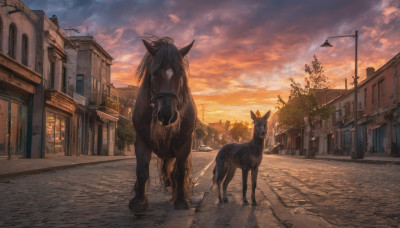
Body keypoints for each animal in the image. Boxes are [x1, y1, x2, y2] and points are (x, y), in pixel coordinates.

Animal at [129, 36, 196, 215]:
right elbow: (142, 170)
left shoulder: (184, 145)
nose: (167, 115)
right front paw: (139, 202)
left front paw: (181, 201)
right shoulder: (141, 140)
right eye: (154, 73)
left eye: (180, 73)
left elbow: (180, 172)